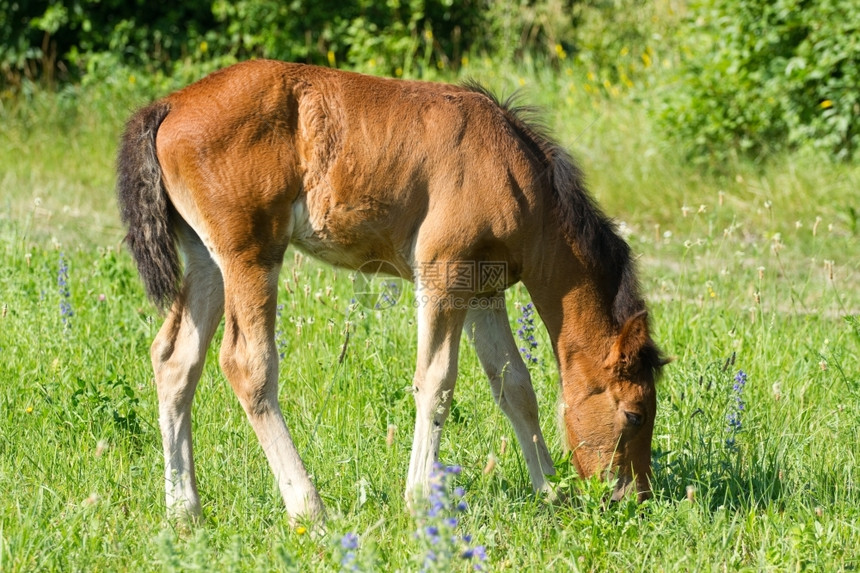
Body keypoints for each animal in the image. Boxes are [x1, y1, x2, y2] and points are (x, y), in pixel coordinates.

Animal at [116, 60, 664, 520]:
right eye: (635, 414)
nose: (633, 499)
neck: (513, 172)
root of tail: (169, 105)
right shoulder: (444, 274)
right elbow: (437, 382)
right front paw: (421, 497)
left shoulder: (484, 290)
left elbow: (515, 387)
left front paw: (550, 490)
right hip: (250, 256)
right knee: (247, 366)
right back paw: (309, 508)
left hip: (207, 262)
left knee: (175, 361)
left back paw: (184, 511)